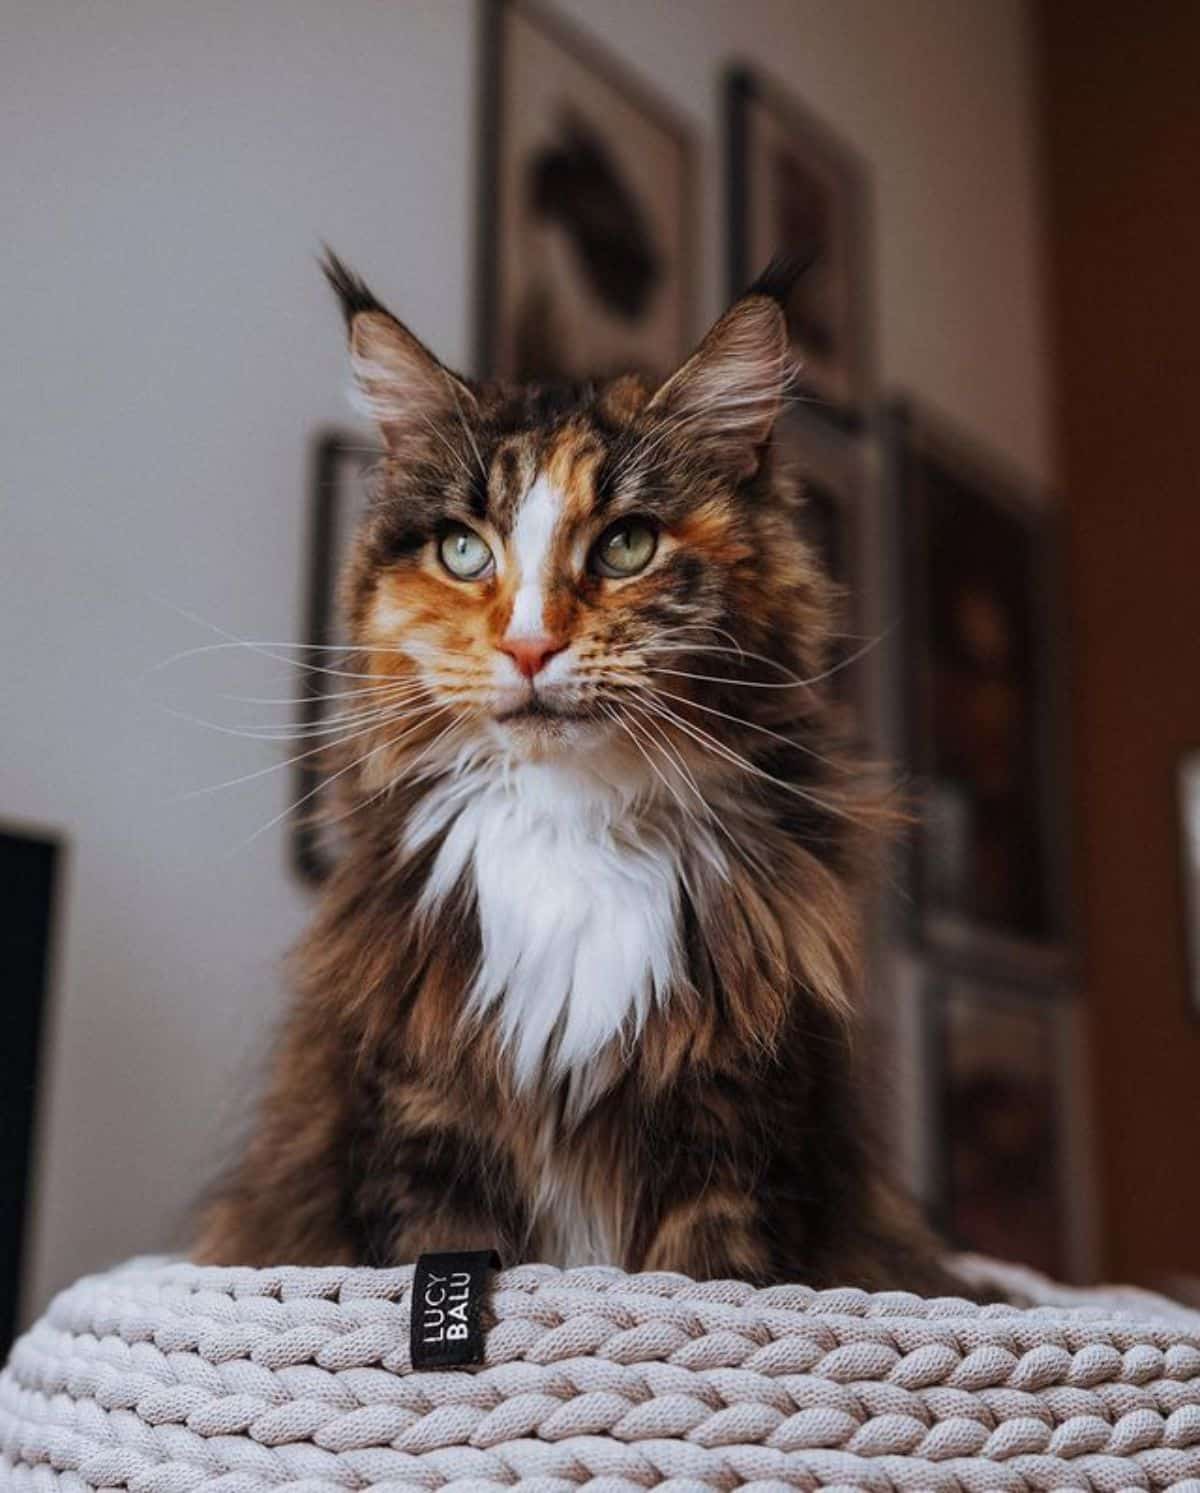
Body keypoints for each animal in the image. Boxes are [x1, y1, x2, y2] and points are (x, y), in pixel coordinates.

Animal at [197, 247, 967, 1295]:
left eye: (627, 544)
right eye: (464, 549)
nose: (529, 646)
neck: (575, 828)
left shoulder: (737, 1145)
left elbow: (702, 1291)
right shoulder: (424, 1134)